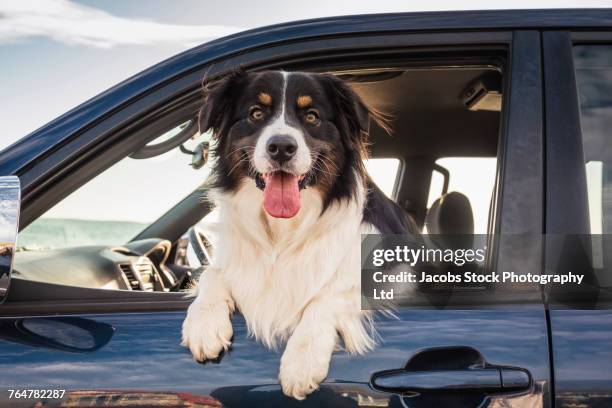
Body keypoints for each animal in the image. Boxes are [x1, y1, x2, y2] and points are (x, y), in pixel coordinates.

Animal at [179, 69, 414, 398]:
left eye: (312, 116)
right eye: (256, 113)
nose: (281, 147)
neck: (283, 232)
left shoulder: (402, 274)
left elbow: (333, 292)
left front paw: (302, 360)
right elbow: (212, 274)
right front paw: (204, 326)